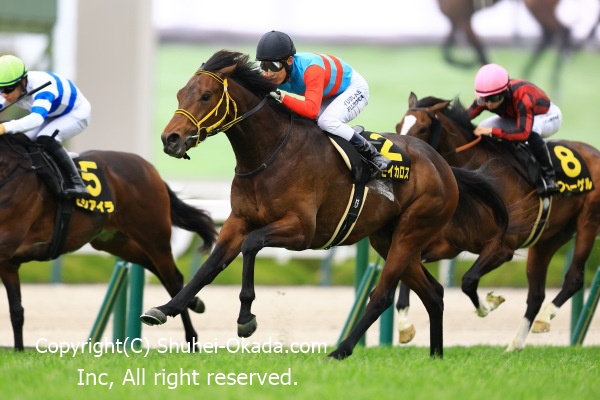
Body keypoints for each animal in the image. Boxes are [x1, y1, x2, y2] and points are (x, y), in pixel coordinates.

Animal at [0, 133, 218, 351]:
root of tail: (149, 168)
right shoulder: (9, 263)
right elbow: (16, 311)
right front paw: (19, 350)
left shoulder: (6, 251)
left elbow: (15, 310)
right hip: (115, 242)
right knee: (155, 268)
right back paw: (195, 303)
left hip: (154, 236)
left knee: (173, 279)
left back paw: (191, 338)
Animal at [138, 49, 510, 360]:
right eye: (180, 94)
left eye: (205, 95)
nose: (170, 139)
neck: (268, 153)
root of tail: (444, 165)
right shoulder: (238, 220)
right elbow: (210, 266)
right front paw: (164, 309)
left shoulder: (302, 230)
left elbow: (252, 245)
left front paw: (246, 318)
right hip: (387, 238)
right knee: (433, 293)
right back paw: (435, 355)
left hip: (412, 231)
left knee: (382, 295)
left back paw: (341, 351)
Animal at [395, 92, 600, 351]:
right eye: (398, 126)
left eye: (422, 128)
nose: (404, 155)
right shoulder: (450, 245)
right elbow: (408, 268)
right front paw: (404, 326)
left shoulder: (503, 248)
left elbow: (468, 280)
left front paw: (489, 305)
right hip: (548, 239)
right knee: (536, 294)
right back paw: (515, 344)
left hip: (587, 223)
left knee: (574, 279)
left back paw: (544, 318)